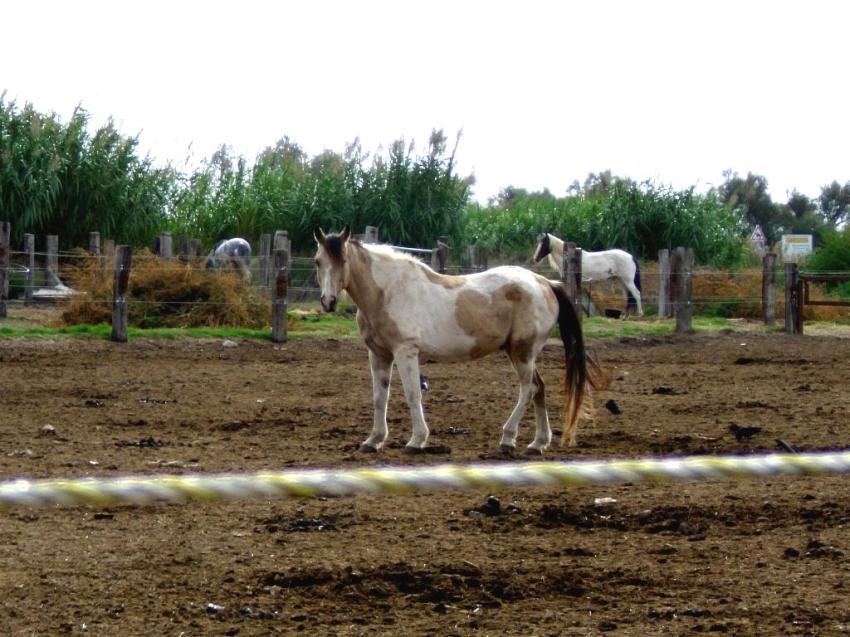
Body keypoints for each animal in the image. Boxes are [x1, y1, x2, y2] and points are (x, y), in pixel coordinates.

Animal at [314, 224, 596, 452]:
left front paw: (417, 440)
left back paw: (508, 438)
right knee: (540, 389)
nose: (328, 301)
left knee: (530, 389)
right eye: (318, 261)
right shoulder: (379, 354)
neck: (387, 291)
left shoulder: (406, 352)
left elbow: (412, 394)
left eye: (343, 259)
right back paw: (538, 443)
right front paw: (373, 440)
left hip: (522, 353)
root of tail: (545, 283)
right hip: (521, 353)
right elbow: (379, 398)